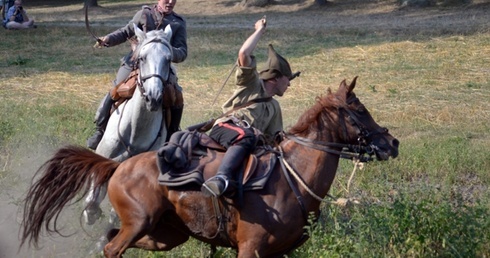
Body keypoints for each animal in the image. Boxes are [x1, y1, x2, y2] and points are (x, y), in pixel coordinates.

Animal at [21, 77, 400, 258]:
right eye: (360, 110)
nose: (392, 143)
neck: (291, 176)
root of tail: (117, 167)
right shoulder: (250, 250)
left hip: (164, 234)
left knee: (109, 240)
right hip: (140, 222)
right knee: (113, 248)